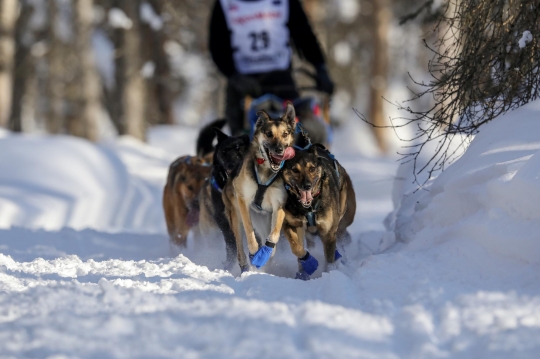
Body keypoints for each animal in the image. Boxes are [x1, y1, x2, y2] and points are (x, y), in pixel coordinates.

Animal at [280, 145, 356, 280]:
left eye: (312, 168)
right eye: (295, 170)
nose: (307, 185)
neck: (308, 208)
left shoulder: (328, 232)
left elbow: (330, 259)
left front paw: (330, 273)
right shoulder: (292, 224)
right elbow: (297, 248)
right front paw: (305, 266)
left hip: (343, 218)